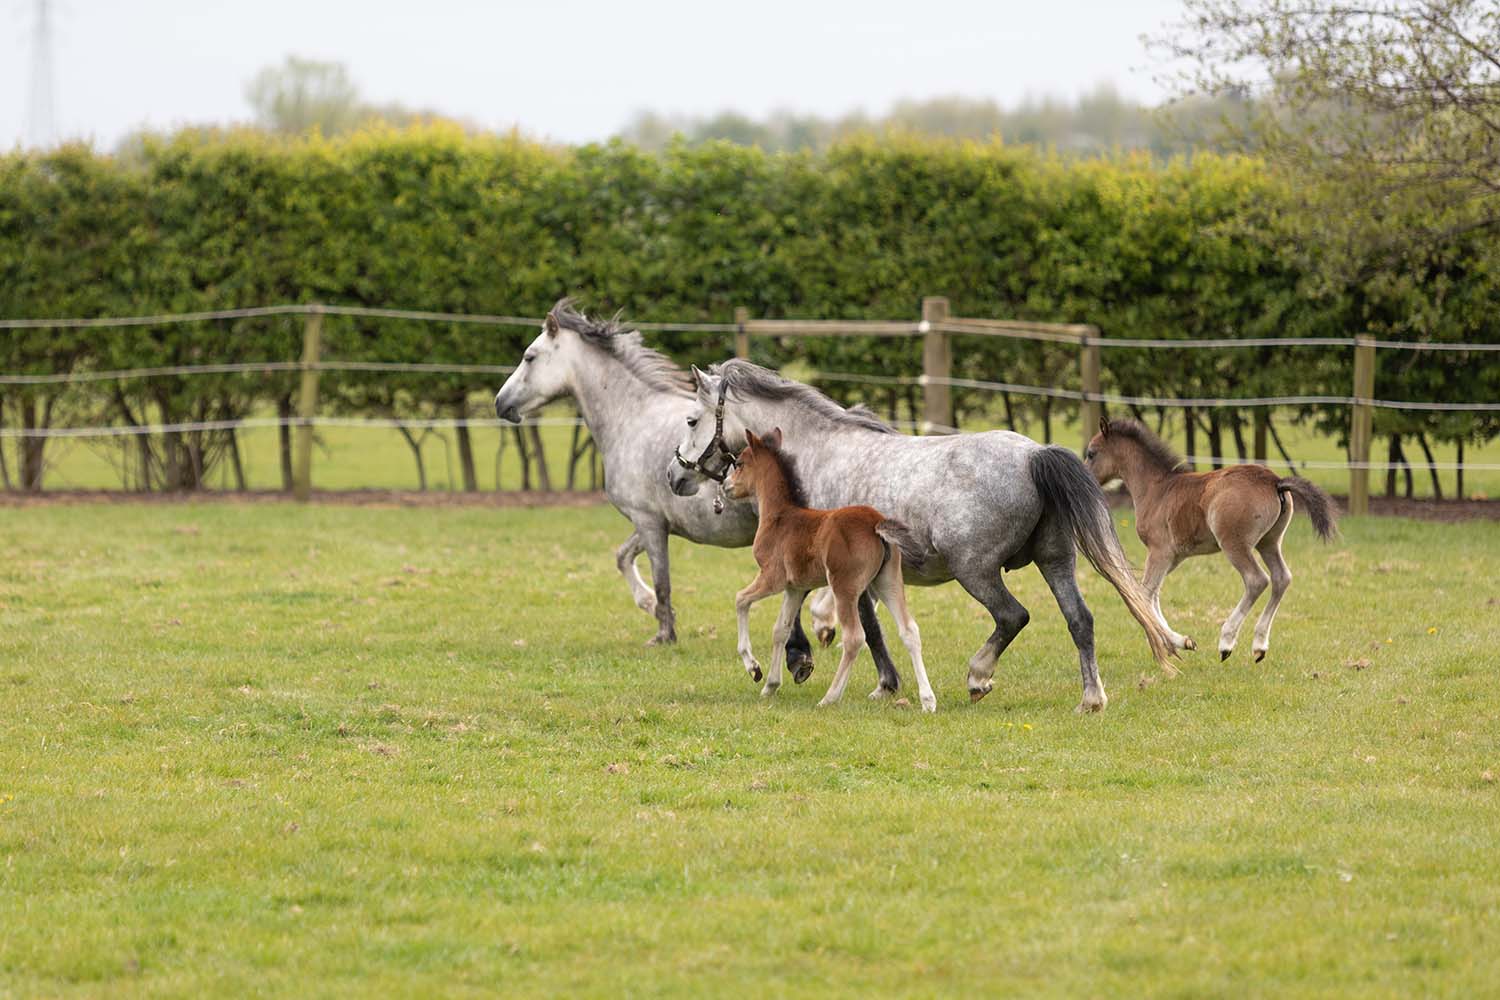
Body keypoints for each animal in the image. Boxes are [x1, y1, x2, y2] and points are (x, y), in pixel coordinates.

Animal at [489, 296, 900, 689]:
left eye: (529, 356)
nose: (500, 403)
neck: (631, 418)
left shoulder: (648, 521)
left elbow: (662, 579)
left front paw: (663, 632)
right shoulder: (656, 523)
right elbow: (623, 557)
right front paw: (649, 606)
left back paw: (823, 623)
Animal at [729, 431, 936, 710]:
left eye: (739, 463)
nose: (726, 486)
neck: (779, 517)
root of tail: (876, 523)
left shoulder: (772, 578)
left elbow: (740, 599)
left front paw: (754, 669)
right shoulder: (795, 588)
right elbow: (780, 630)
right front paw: (770, 686)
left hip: (844, 587)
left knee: (854, 637)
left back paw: (830, 697)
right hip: (888, 581)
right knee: (909, 631)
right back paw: (928, 701)